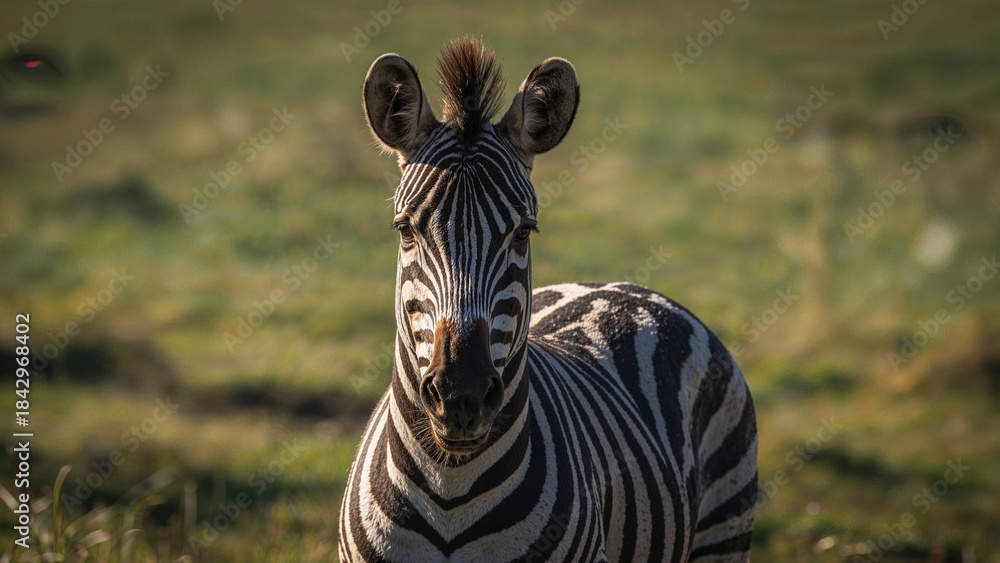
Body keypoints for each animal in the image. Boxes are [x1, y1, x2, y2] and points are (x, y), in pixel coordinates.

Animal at [339, 37, 757, 562]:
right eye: (405, 230)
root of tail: (618, 286)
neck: (449, 486)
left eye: (523, 233)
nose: (461, 396)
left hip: (724, 523)